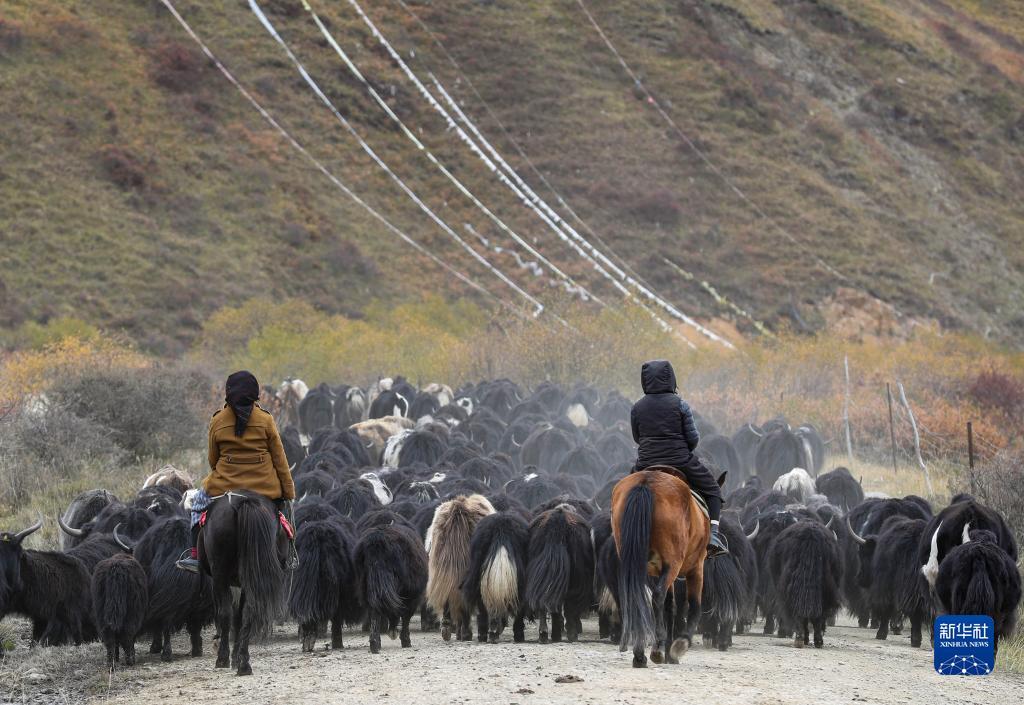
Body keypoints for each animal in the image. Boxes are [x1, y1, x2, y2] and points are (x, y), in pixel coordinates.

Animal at [197, 493, 284, 676]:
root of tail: (245, 501)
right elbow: (239, 617)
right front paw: (236, 657)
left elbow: (229, 615)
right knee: (248, 612)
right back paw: (244, 663)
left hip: (220, 574)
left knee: (226, 613)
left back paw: (223, 658)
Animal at [610, 467, 708, 668]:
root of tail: (646, 482)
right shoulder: (696, 567)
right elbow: (694, 605)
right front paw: (679, 644)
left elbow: (670, 606)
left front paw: (670, 652)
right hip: (674, 563)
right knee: (658, 595)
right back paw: (657, 647)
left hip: (635, 562)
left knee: (636, 597)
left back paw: (641, 653)